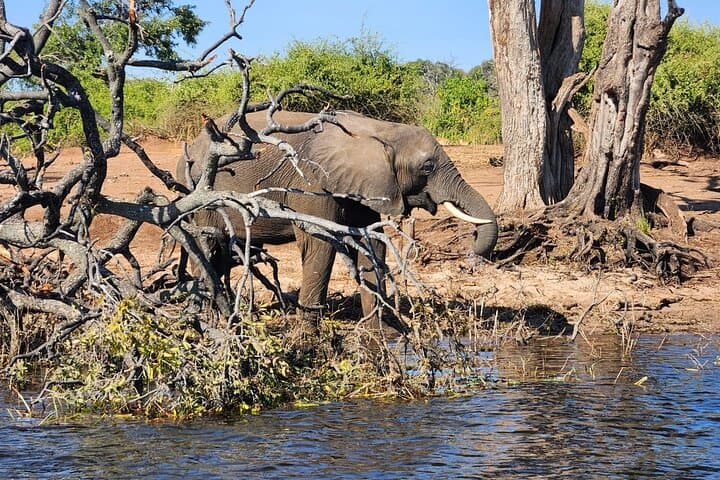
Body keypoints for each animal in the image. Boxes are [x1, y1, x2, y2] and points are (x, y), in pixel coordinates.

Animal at [178, 110, 498, 326]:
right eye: (428, 167)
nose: (470, 251)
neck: (379, 129)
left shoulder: (365, 185)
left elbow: (371, 244)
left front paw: (379, 331)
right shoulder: (312, 182)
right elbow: (320, 244)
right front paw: (308, 335)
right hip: (197, 189)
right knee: (206, 248)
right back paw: (211, 317)